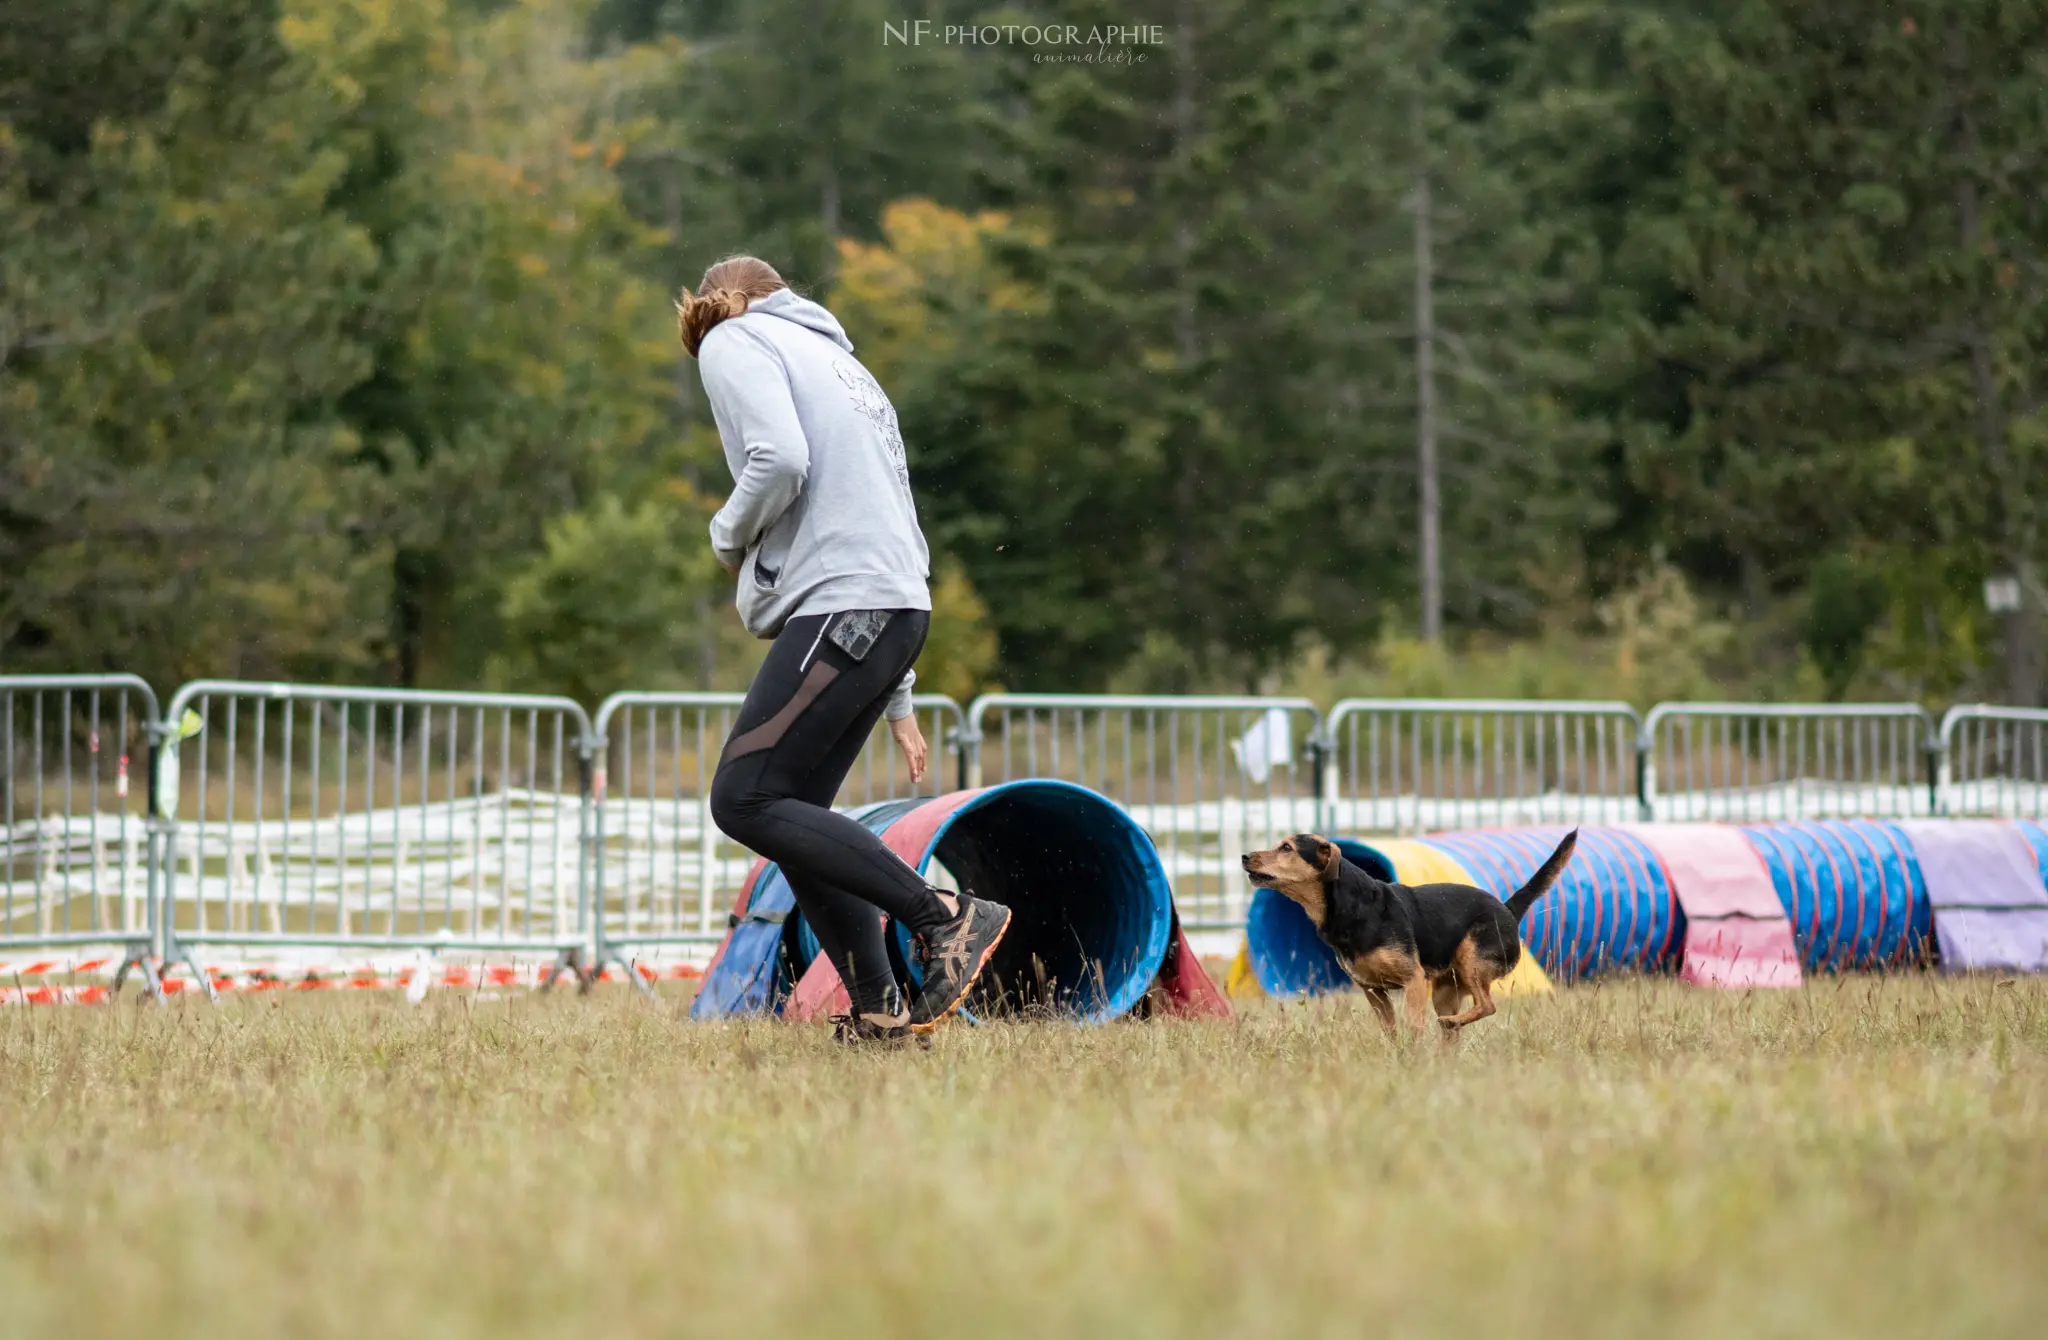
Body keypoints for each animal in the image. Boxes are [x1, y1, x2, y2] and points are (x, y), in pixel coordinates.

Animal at [1236, 835, 1572, 1044]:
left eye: (1287, 848)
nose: (1244, 856)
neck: (1350, 908)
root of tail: (1508, 908)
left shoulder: (1414, 980)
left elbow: (1413, 1025)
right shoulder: (1373, 990)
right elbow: (1390, 1029)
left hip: (1471, 962)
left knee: (1486, 1005)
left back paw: (1450, 1024)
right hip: (1445, 991)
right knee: (1457, 1028)